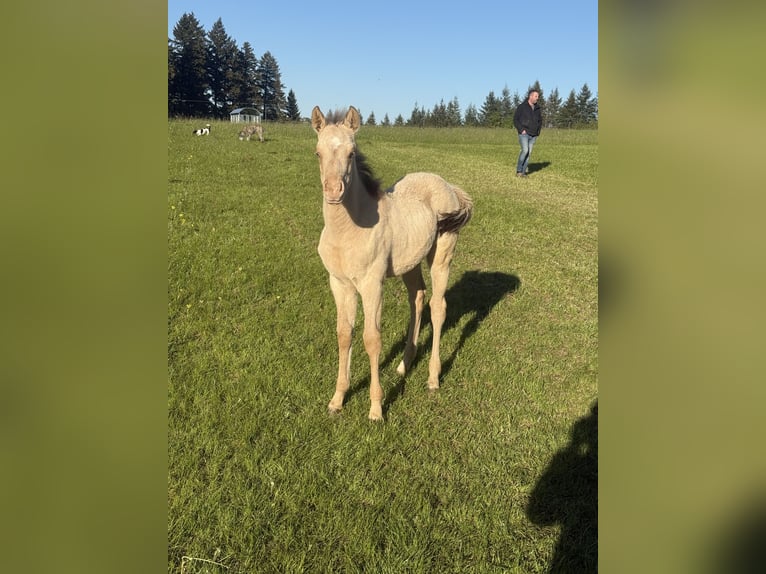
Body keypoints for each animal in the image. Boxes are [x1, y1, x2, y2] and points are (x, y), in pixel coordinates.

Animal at [311, 106, 473, 420]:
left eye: (351, 153)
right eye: (318, 153)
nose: (333, 191)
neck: (348, 231)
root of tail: (448, 185)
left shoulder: (372, 284)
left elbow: (372, 339)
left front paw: (376, 408)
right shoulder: (339, 284)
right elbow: (344, 334)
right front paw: (337, 399)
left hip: (442, 253)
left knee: (438, 307)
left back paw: (433, 378)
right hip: (410, 263)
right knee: (418, 298)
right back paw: (404, 364)